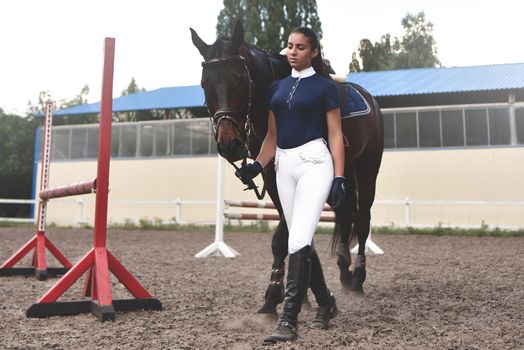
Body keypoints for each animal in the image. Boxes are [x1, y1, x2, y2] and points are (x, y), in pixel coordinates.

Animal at [191, 21, 384, 314]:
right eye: (205, 83)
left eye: (239, 78)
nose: (229, 144)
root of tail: (369, 98)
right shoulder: (273, 179)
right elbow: (292, 232)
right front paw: (298, 294)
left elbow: (284, 237)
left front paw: (274, 296)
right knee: (344, 214)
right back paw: (343, 272)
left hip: (367, 169)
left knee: (361, 220)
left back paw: (358, 279)